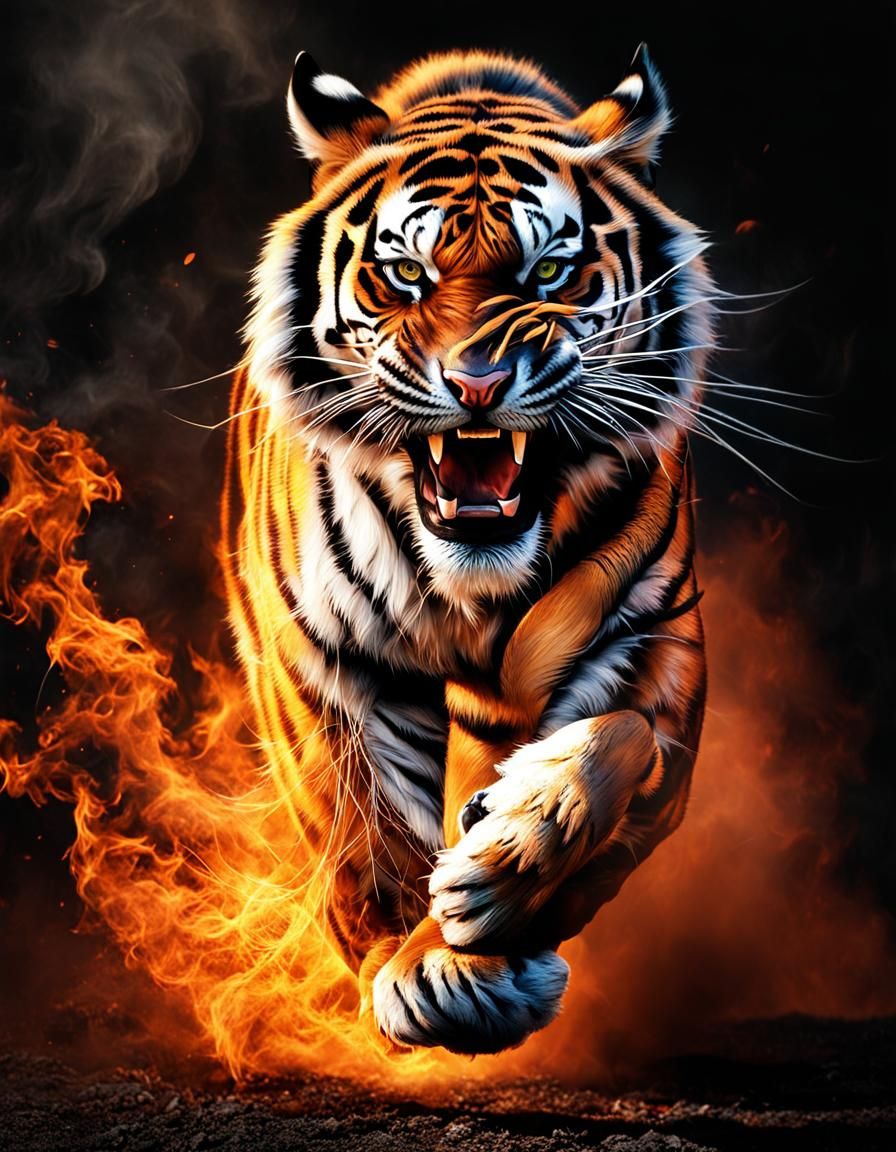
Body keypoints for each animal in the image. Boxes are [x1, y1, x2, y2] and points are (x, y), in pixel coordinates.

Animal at [221, 44, 712, 1055]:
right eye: (404, 274)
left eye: (552, 270)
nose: (478, 383)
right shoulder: (316, 658)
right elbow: (360, 820)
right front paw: (415, 966)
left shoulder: (660, 642)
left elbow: (619, 744)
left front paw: (499, 878)